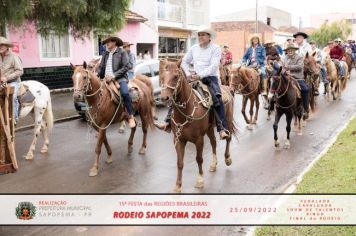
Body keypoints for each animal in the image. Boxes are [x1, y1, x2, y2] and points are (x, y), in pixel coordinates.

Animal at [159, 60, 236, 193]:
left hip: (228, 122)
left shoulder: (199, 140)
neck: (187, 110)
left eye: (175, 76)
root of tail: (227, 88)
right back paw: (213, 164)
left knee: (228, 137)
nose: (164, 97)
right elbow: (180, 162)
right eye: (162, 77)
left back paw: (227, 158)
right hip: (209, 128)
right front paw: (178, 185)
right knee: (213, 142)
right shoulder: (178, 140)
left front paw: (200, 181)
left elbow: (199, 159)